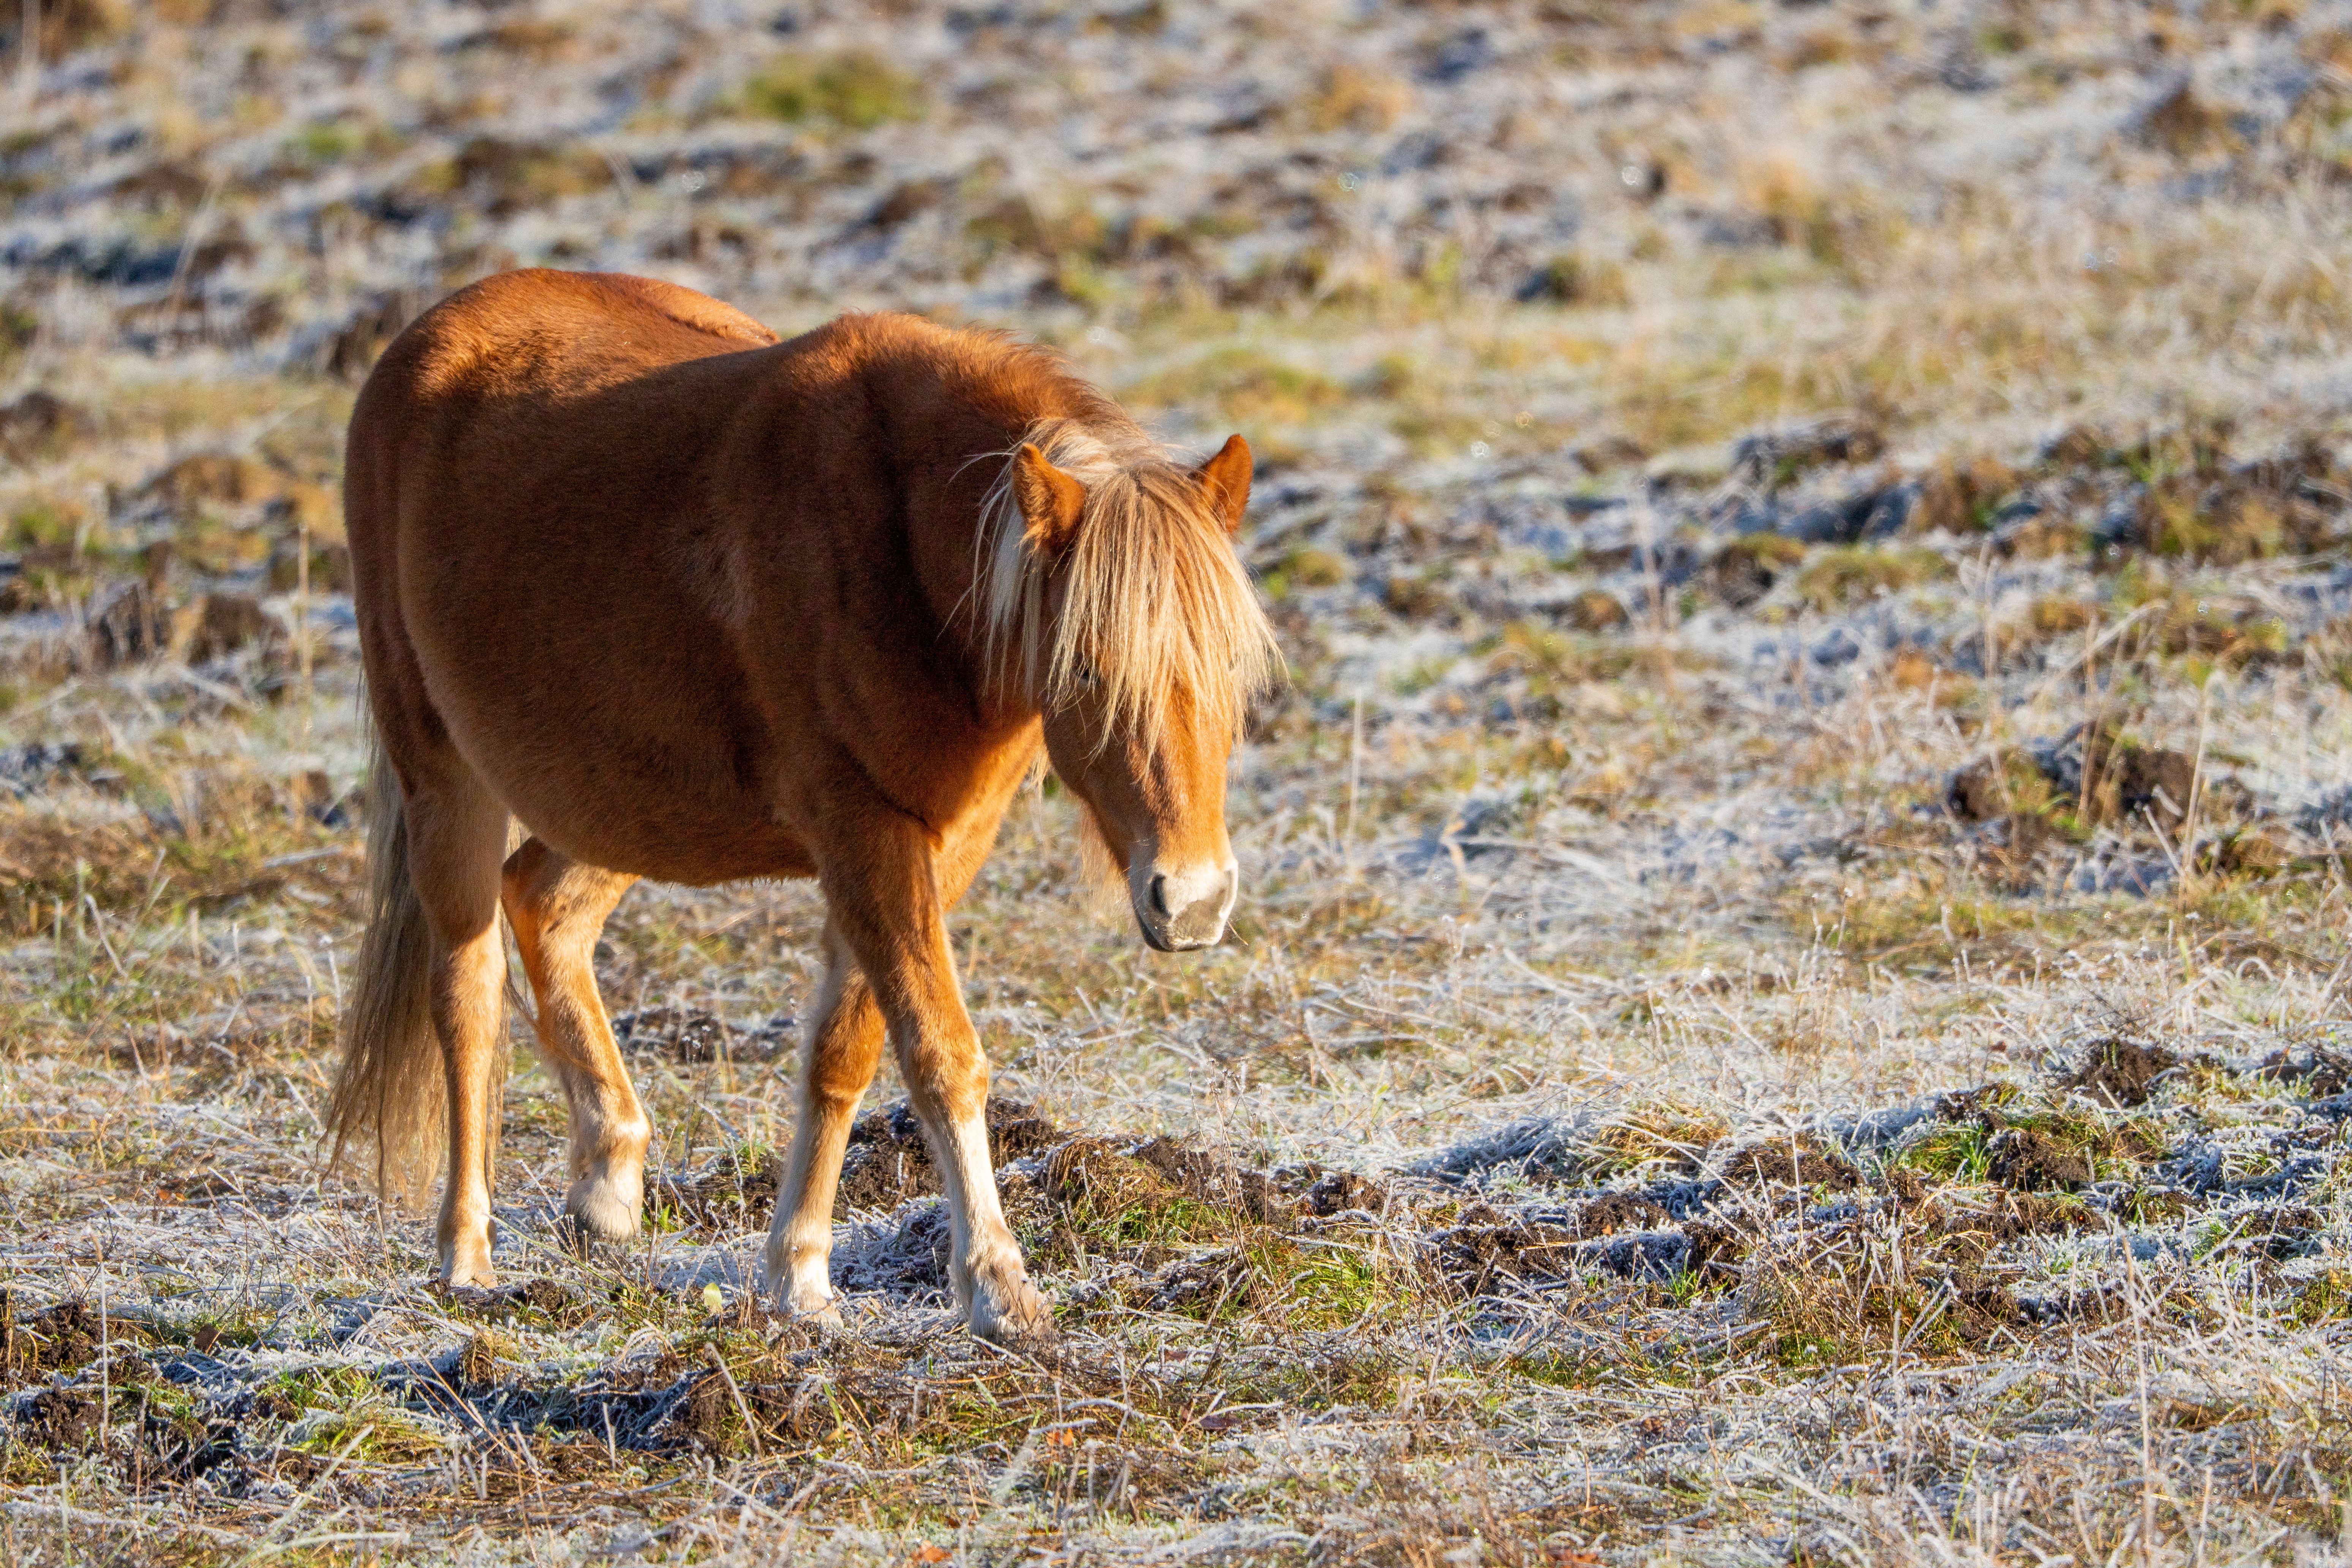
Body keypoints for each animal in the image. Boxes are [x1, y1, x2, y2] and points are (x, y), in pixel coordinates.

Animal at [325, 269, 1280, 1342]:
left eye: (1232, 667)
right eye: (1085, 669)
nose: (1192, 902)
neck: (899, 546)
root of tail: (428, 339)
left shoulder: (939, 841)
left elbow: (845, 1048)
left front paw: (800, 1276)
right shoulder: (863, 834)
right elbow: (939, 1050)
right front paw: (996, 1284)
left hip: (621, 802)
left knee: (542, 904)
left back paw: (609, 1178)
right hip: (443, 777)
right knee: (468, 993)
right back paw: (465, 1257)